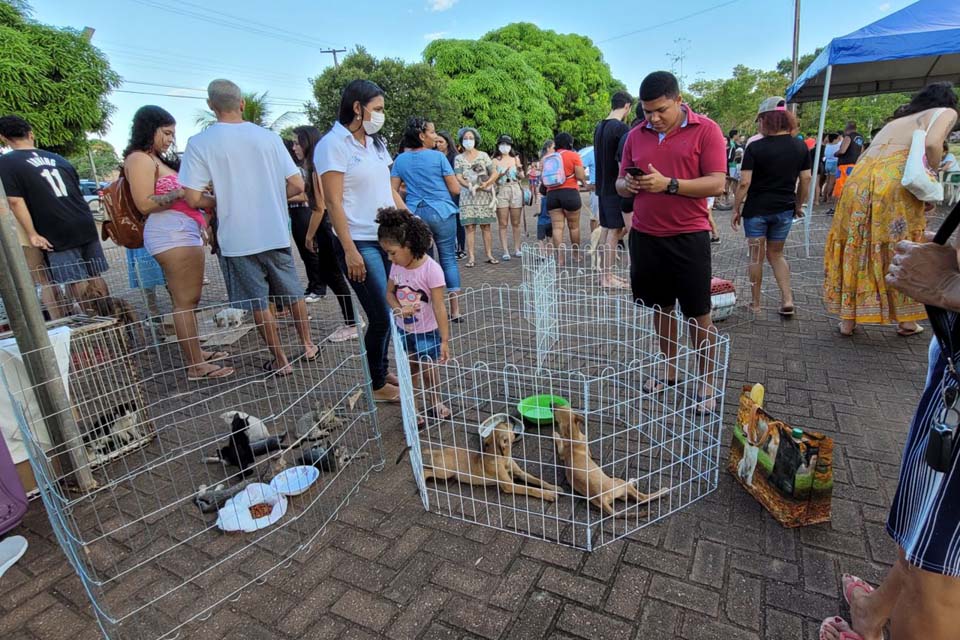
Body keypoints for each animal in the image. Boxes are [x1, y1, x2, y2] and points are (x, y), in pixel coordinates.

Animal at [422, 418, 564, 502]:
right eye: (507, 425)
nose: (510, 418)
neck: (503, 458)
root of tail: (437, 451)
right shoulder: (509, 485)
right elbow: (530, 489)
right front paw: (548, 495)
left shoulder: (520, 473)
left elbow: (538, 480)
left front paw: (554, 487)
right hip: (445, 472)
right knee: (426, 471)